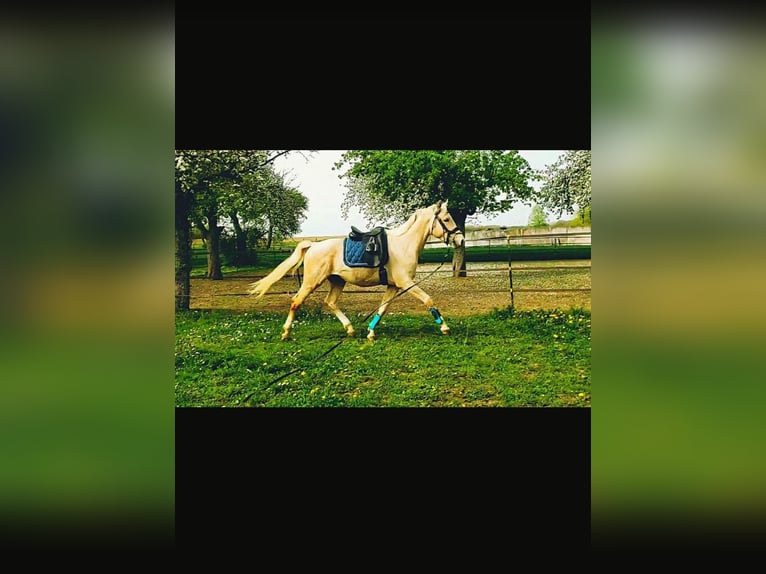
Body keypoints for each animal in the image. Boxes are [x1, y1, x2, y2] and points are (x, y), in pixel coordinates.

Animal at [252, 200, 464, 340]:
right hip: (312, 281)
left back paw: (350, 329)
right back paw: (286, 333)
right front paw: (444, 327)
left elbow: (383, 308)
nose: (460, 240)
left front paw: (370, 332)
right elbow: (428, 300)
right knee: (296, 302)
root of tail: (312, 246)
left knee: (330, 302)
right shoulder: (406, 283)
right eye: (447, 218)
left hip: (337, 281)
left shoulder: (393, 286)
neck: (403, 244)